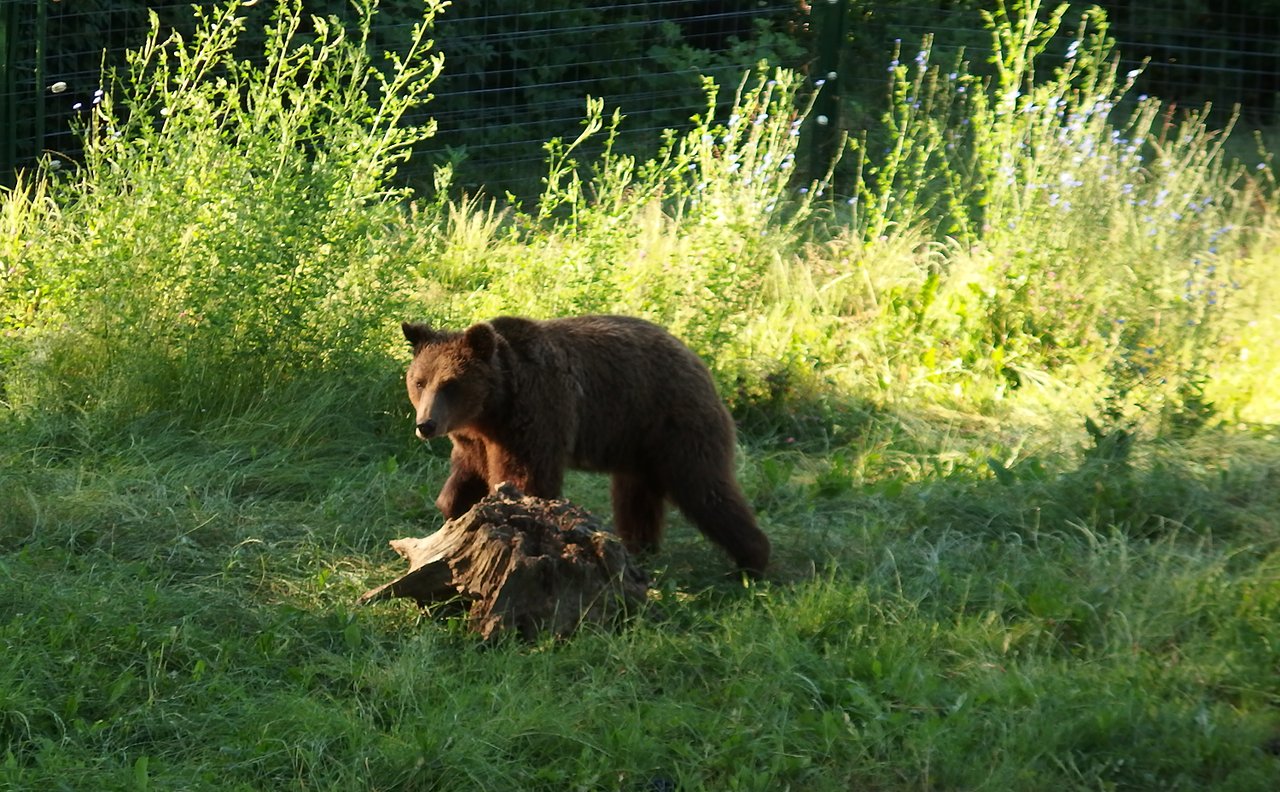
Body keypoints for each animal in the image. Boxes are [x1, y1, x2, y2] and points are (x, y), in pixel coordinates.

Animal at [401, 313, 768, 573]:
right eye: (419, 381)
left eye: (450, 384)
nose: (425, 425)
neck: (495, 405)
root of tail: (698, 361)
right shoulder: (475, 438)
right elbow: (467, 475)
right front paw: (453, 511)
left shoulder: (538, 413)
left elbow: (527, 477)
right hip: (636, 442)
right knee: (636, 498)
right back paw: (640, 550)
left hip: (672, 423)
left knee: (704, 487)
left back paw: (755, 561)